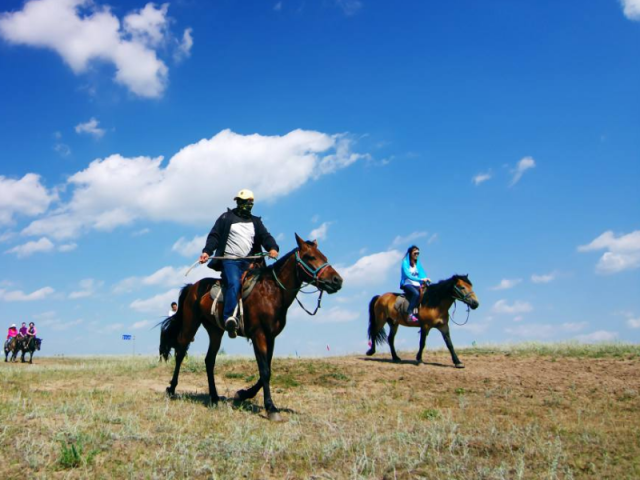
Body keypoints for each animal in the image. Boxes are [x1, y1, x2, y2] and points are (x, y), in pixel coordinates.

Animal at [160, 233, 342, 420]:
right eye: (310, 257)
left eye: (324, 257)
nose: (337, 280)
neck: (271, 292)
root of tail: (192, 287)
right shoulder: (258, 335)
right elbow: (264, 371)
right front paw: (271, 408)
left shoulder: (271, 337)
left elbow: (267, 369)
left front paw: (243, 394)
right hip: (190, 325)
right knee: (181, 353)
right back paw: (171, 389)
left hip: (215, 331)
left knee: (209, 360)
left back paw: (214, 396)